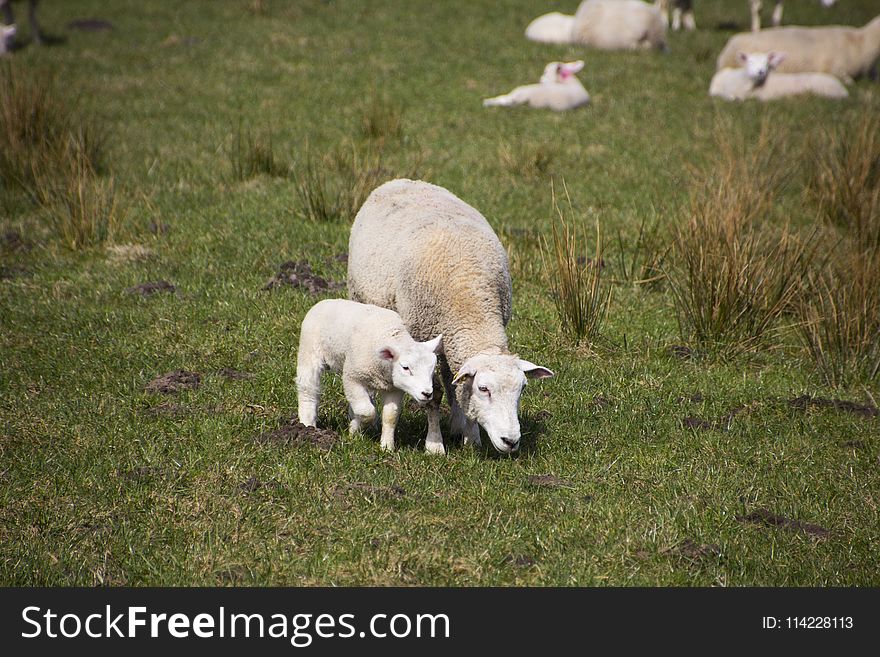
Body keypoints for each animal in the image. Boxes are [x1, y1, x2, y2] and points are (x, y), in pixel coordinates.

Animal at [296, 298, 444, 452]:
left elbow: (390, 416)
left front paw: (387, 447)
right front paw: (354, 429)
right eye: (406, 368)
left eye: (433, 368)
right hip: (309, 351)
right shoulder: (352, 377)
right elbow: (367, 412)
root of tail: (325, 301)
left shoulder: (394, 388)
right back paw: (307, 425)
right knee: (308, 389)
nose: (427, 393)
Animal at [348, 179, 552, 456]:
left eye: (522, 388)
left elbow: (459, 385)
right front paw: (434, 445)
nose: (511, 442)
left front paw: (471, 437)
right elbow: (434, 395)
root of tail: (401, 181)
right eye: (484, 389)